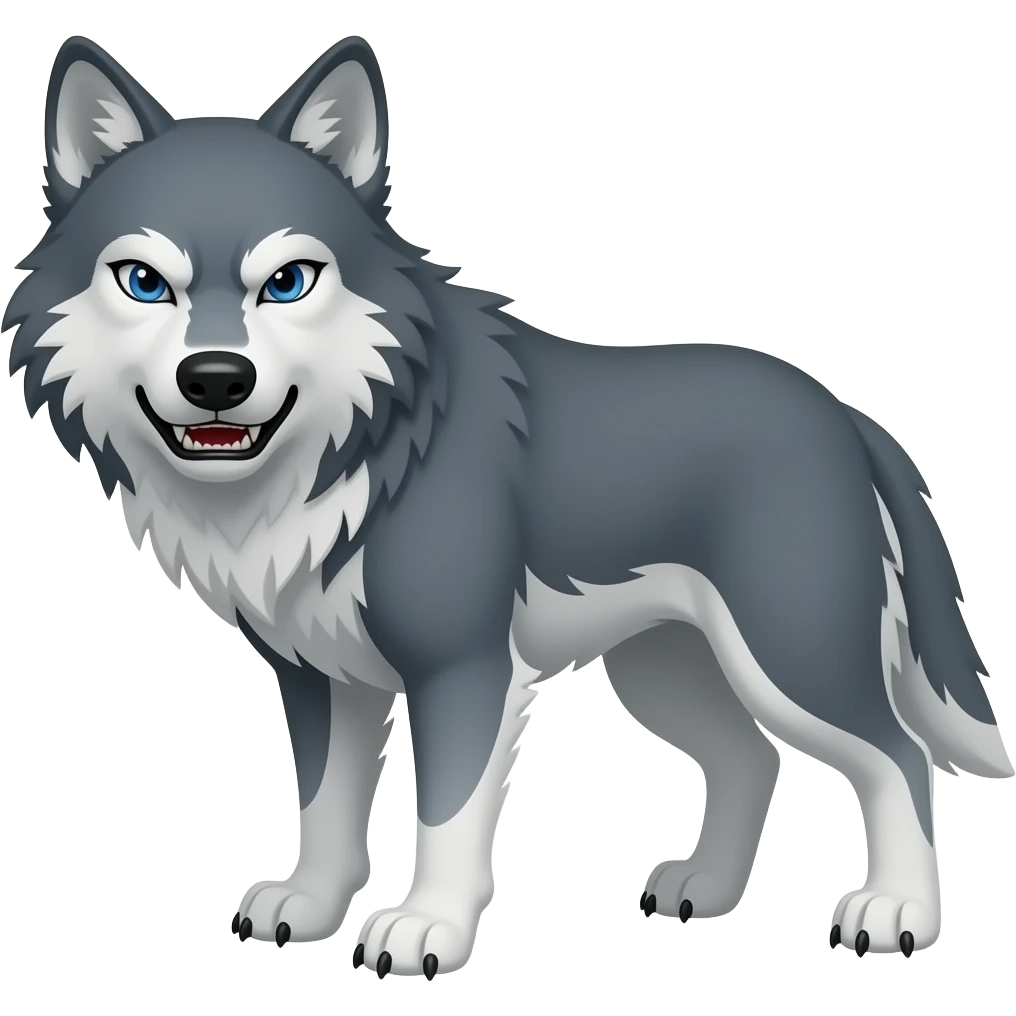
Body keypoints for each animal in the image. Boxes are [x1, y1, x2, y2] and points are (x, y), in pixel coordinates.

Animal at [4, 32, 1012, 976]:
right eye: (144, 282)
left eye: (287, 282)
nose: (216, 379)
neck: (357, 449)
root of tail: (847, 415)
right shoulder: (319, 675)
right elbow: (326, 806)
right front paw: (310, 906)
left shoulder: (464, 668)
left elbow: (443, 816)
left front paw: (424, 933)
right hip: (664, 670)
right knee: (752, 757)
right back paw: (707, 889)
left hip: (788, 655)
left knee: (898, 758)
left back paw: (896, 914)